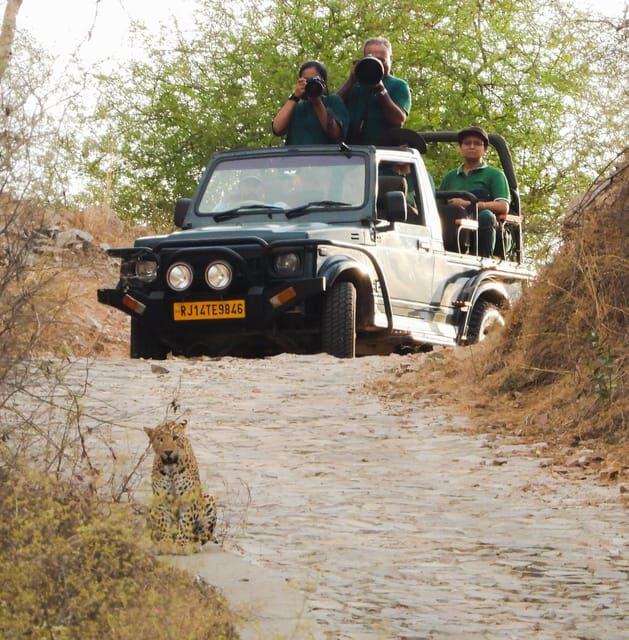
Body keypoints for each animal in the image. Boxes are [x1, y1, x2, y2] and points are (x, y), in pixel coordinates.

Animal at [144, 419, 216, 553]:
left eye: (175, 437)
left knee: (202, 537)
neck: (171, 468)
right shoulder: (160, 499)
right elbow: (163, 522)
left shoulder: (189, 499)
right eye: (160, 439)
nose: (168, 452)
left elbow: (185, 523)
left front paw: (181, 545)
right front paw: (165, 544)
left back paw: (194, 545)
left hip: (209, 500)